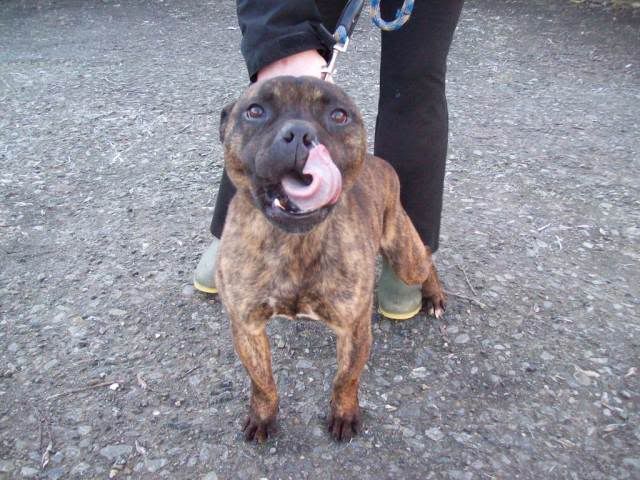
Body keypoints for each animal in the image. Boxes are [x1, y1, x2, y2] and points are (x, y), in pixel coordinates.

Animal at [215, 76, 444, 442]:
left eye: (339, 115)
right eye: (255, 111)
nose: (299, 134)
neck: (294, 241)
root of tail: (379, 162)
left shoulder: (354, 329)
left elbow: (345, 379)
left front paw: (344, 414)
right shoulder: (246, 327)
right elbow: (262, 381)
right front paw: (263, 417)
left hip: (404, 254)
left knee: (425, 259)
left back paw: (433, 296)